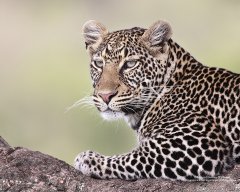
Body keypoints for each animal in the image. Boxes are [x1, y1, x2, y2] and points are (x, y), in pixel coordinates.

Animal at [74, 20, 239, 181]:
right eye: (99, 64)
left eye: (130, 64)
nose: (105, 95)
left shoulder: (199, 143)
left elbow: (134, 157)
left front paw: (89, 159)